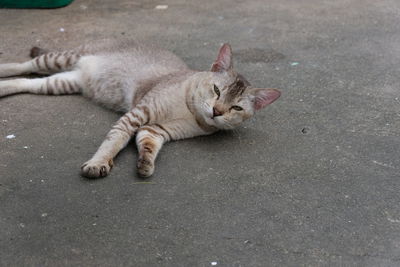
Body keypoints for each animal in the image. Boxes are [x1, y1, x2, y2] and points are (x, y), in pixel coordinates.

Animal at [0, 40, 282, 178]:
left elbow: (147, 145)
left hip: (61, 83)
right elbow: (113, 142)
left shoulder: (154, 129)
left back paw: (4, 87)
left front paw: (145, 164)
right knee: (25, 65)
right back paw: (4, 70)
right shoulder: (136, 115)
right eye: (216, 90)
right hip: (60, 59)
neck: (188, 111)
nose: (217, 112)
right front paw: (99, 162)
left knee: (27, 82)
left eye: (236, 107)